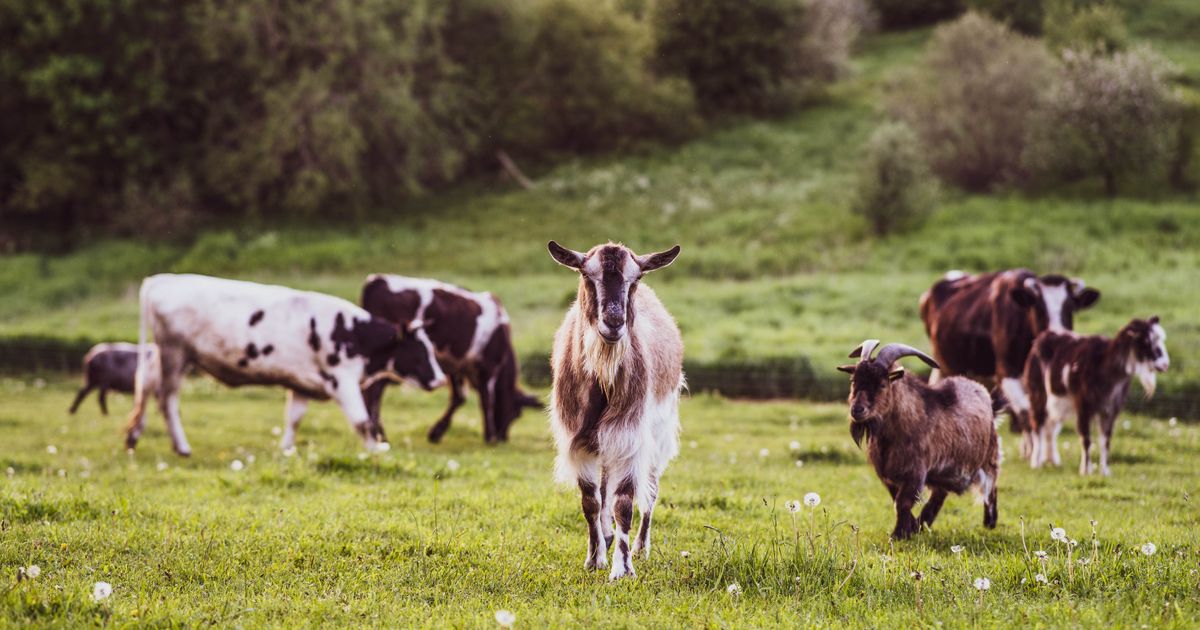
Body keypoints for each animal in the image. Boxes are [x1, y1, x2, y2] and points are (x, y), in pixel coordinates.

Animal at [125, 272, 446, 453]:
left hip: (169, 356)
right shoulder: (342, 380)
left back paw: (134, 436)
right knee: (167, 399)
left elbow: (294, 419)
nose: (440, 379)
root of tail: (164, 279)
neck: (352, 332)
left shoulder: (302, 384)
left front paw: (287, 450)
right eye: (419, 349)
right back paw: (181, 447)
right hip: (175, 354)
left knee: (147, 386)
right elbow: (362, 419)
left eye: (431, 348)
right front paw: (375, 449)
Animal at [357, 273, 542, 441]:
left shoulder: (456, 366)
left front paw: (436, 433)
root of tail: (377, 280)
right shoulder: (489, 366)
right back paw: (379, 434)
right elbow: (486, 400)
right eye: (517, 414)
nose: (503, 438)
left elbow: (458, 398)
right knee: (374, 390)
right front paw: (489, 436)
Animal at [835, 340, 1003, 537]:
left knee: (991, 487)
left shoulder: (915, 471)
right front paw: (911, 528)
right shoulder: (889, 475)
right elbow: (897, 500)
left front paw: (899, 534)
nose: (857, 410)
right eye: (853, 380)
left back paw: (990, 522)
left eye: (882, 384)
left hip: (988, 459)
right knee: (940, 495)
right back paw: (924, 523)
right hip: (945, 473)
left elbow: (902, 502)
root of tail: (986, 397)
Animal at [921, 270, 1099, 456]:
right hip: (944, 367)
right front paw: (1033, 452)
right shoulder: (1006, 373)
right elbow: (1026, 412)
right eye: (1039, 308)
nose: (1058, 335)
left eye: (1070, 308)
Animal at [1022, 316, 1171, 475]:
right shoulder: (1083, 405)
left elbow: (1105, 440)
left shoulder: (1110, 409)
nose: (1165, 364)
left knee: (1051, 428)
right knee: (1038, 426)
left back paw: (1052, 461)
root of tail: (1040, 339)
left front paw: (1105, 471)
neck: (1104, 366)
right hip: (1038, 395)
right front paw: (1085, 470)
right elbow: (1086, 439)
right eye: (1146, 341)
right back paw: (1036, 462)